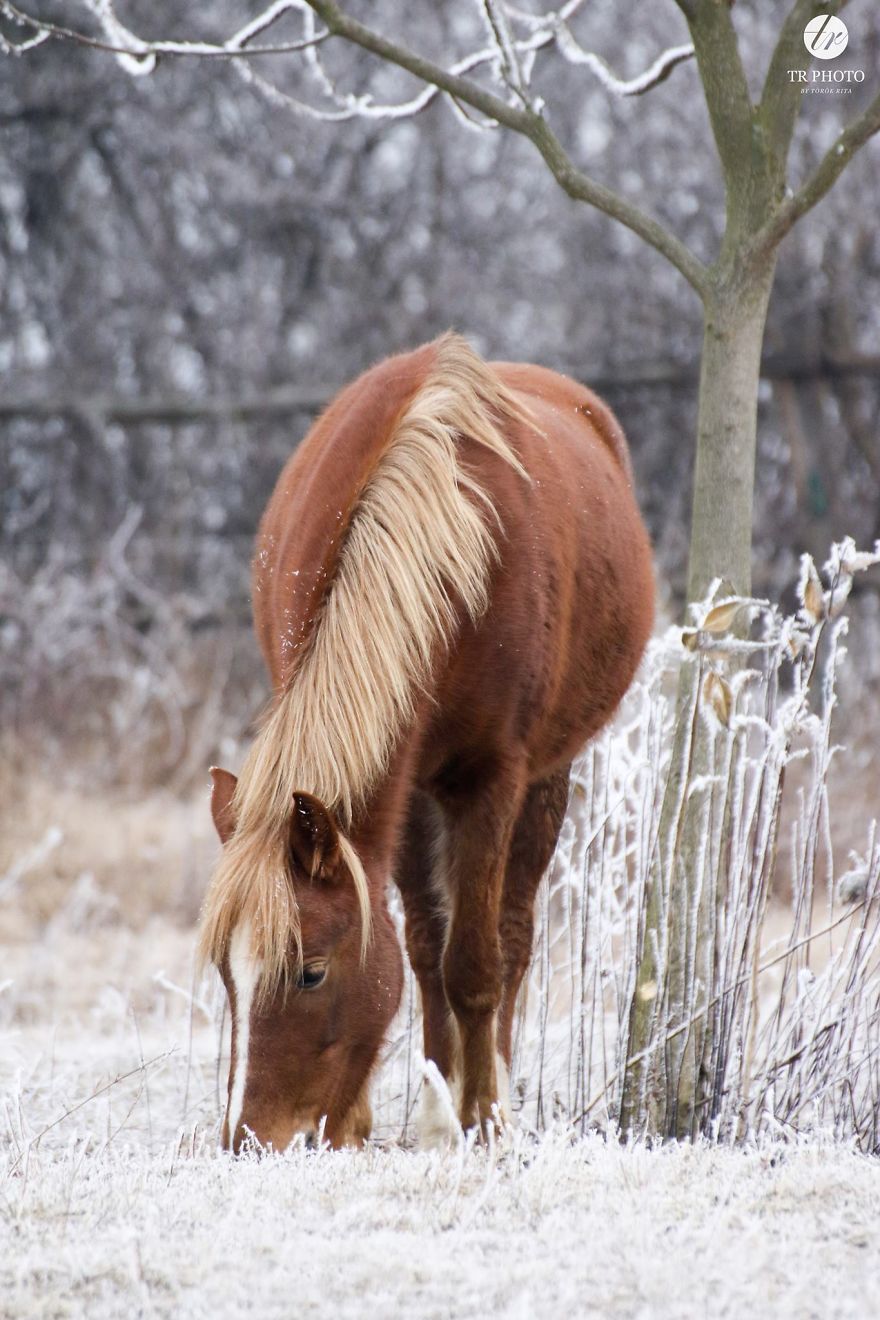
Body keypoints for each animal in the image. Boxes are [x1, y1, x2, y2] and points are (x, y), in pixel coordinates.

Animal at [199, 333, 654, 1152]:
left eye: (310, 971)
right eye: (226, 970)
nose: (249, 1141)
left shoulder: (490, 777)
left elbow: (473, 962)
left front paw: (479, 1119)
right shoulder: (402, 785)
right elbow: (416, 951)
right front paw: (400, 1118)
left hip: (548, 778)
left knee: (512, 938)